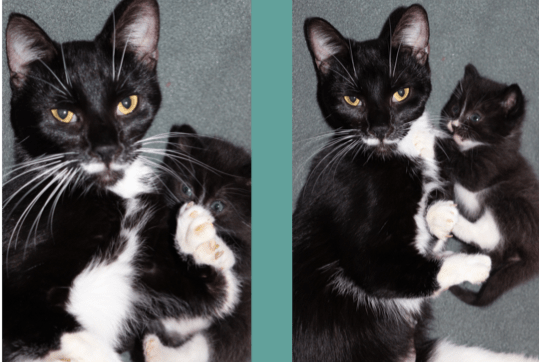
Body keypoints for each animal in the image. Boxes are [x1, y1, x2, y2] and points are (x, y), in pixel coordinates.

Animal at [438, 63, 539, 306]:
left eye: (475, 117)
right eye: (455, 108)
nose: (453, 125)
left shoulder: (492, 165)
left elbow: (465, 168)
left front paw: (433, 138)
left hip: (513, 206)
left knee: (488, 235)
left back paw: (453, 221)